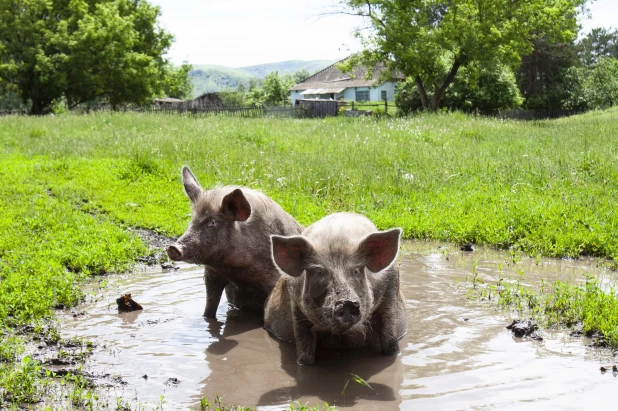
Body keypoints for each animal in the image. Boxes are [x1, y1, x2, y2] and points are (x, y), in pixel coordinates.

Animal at [165, 167, 302, 318]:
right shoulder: (212, 274)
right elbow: (210, 308)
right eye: (192, 220)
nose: (173, 247)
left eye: (212, 222)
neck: (236, 270)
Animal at [264, 214, 404, 366]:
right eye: (319, 272)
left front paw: (393, 354)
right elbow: (304, 347)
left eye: (356, 270)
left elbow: (389, 340)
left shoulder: (391, 288)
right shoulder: (295, 302)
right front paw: (303, 363)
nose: (346, 303)